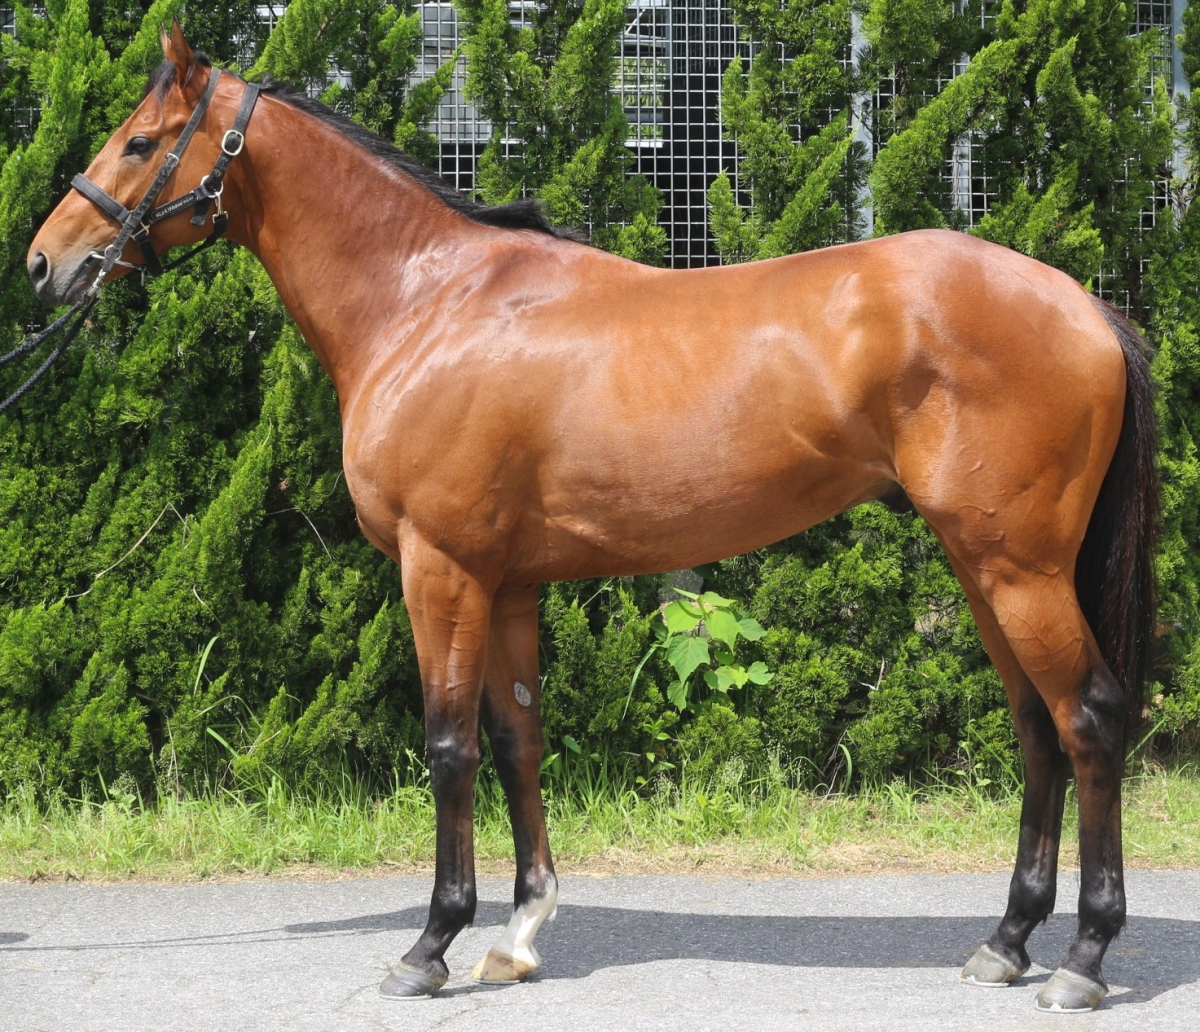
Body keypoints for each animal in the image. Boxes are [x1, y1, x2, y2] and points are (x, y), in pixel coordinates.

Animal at [26, 24, 1157, 1013]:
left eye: (138, 143)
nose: (44, 263)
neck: (427, 303)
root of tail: (1087, 307)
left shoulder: (440, 569)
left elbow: (450, 747)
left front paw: (430, 946)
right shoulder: (507, 583)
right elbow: (518, 740)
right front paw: (521, 934)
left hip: (1018, 569)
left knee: (1090, 719)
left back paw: (1082, 961)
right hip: (982, 565)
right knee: (1037, 727)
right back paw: (1007, 943)